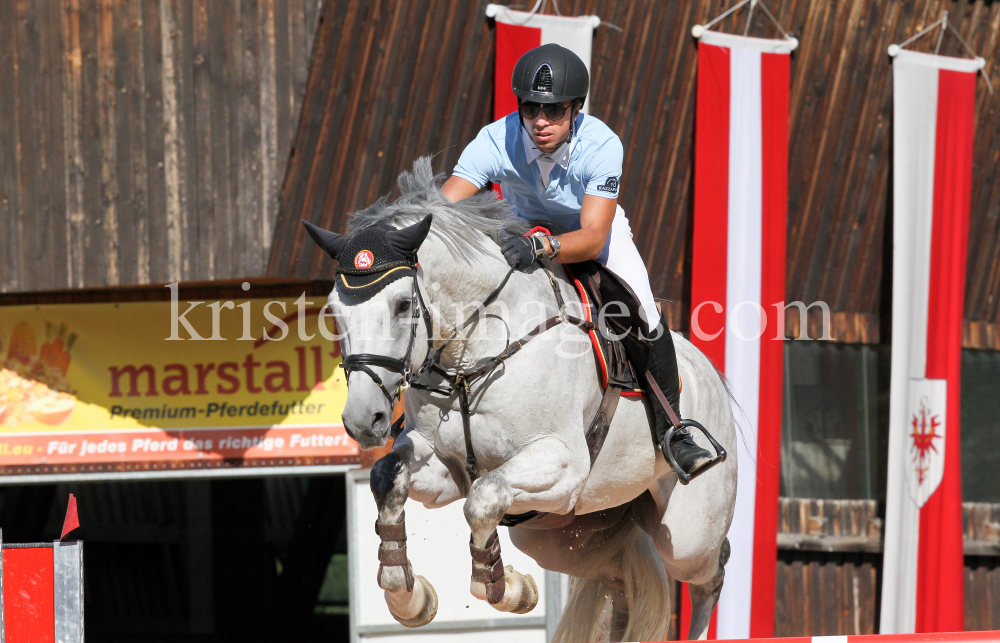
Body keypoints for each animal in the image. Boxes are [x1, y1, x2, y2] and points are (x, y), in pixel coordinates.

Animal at [308, 157, 740, 643]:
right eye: (334, 310)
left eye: (403, 305)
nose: (364, 420)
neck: (471, 358)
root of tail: (708, 371)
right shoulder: (444, 468)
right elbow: (389, 478)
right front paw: (409, 596)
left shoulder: (562, 462)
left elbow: (483, 497)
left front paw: (506, 588)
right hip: (556, 533)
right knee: (619, 577)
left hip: (686, 533)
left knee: (710, 568)